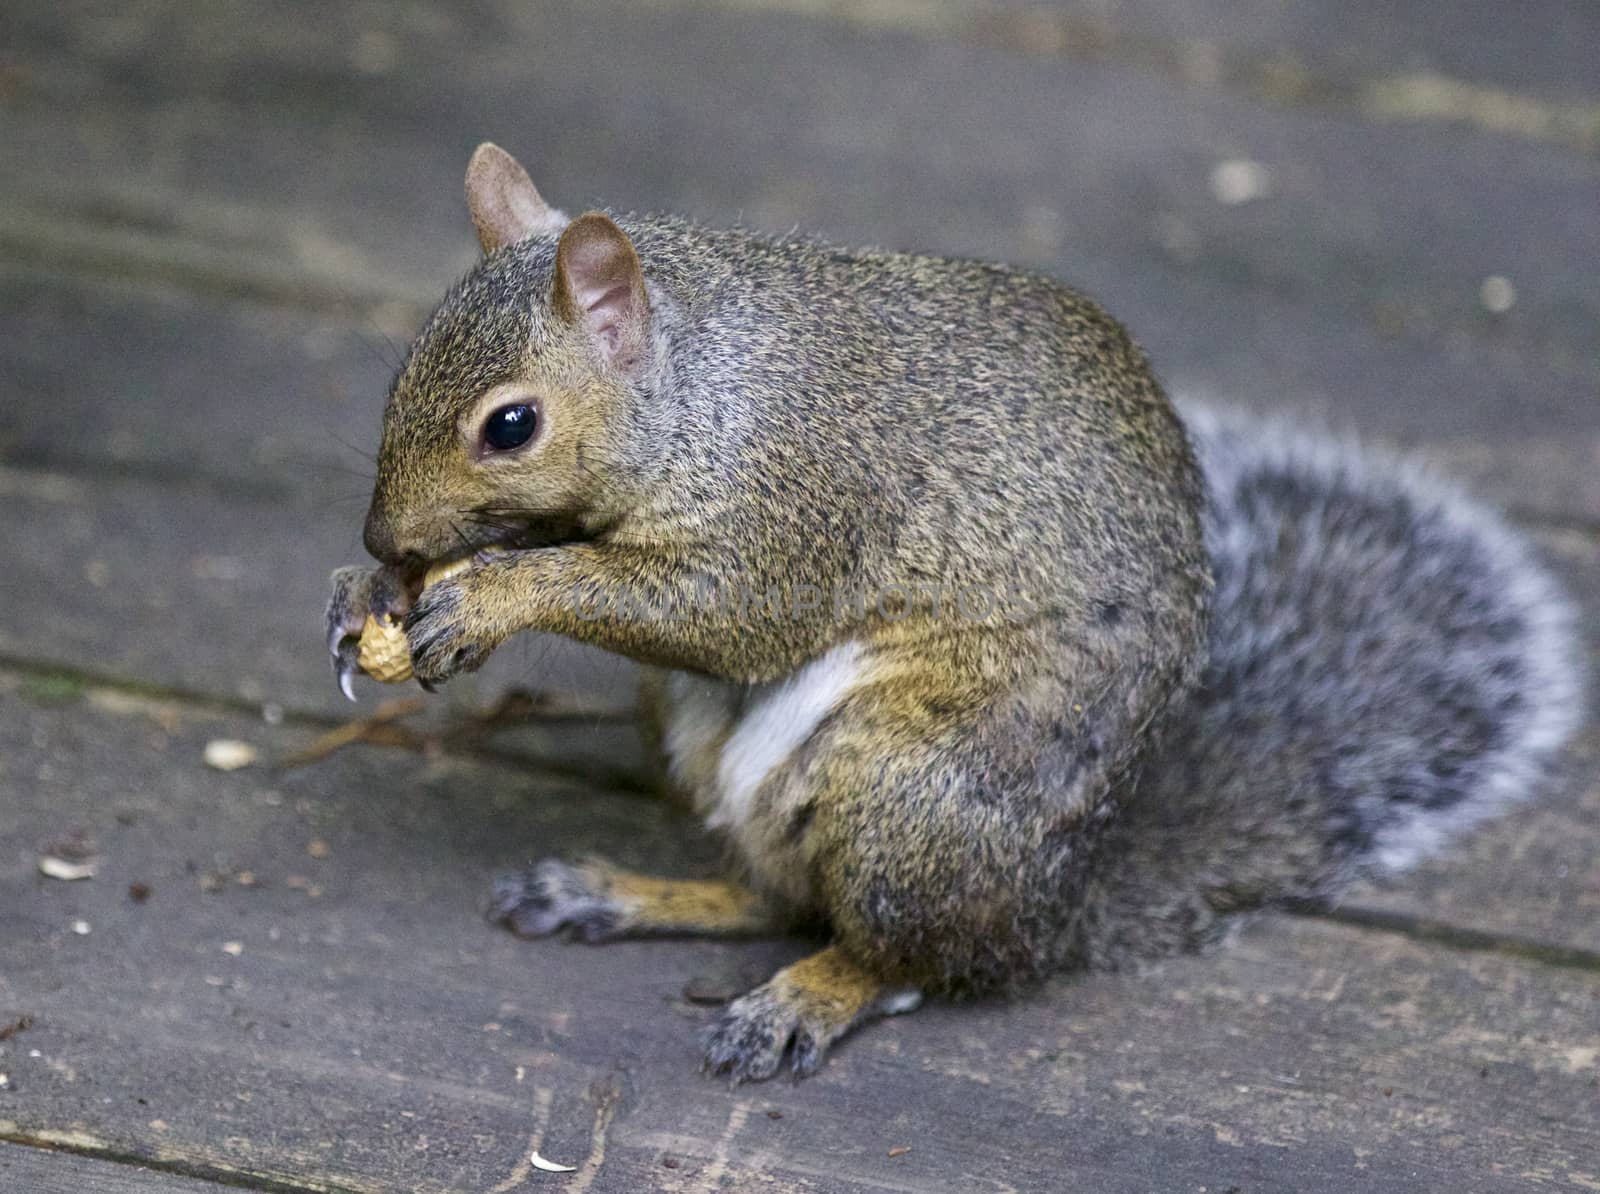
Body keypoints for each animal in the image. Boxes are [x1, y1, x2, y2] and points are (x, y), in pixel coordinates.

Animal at [324, 139, 1587, 1081]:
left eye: (510, 425)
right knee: (776, 894)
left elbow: (728, 614)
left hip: (910, 792)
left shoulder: (803, 500)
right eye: (399, 374)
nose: (385, 539)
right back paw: (617, 893)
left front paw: (491, 594)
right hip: (708, 742)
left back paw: (806, 999)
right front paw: (372, 595)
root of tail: (1053, 909)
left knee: (907, 958)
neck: (704, 389)